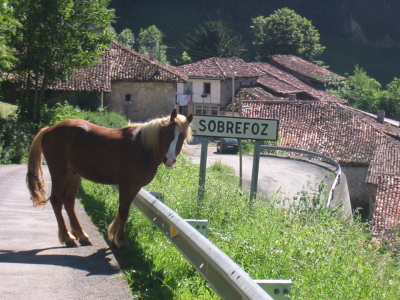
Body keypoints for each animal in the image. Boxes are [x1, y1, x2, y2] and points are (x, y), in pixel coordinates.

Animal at [26, 109, 192, 247]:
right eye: (167, 134)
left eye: (182, 136)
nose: (169, 160)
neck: (142, 148)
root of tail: (48, 129)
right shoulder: (126, 183)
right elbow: (123, 210)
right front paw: (120, 239)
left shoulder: (136, 186)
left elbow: (124, 208)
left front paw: (113, 235)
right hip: (59, 172)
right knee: (56, 200)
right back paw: (67, 237)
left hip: (73, 174)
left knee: (68, 202)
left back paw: (81, 235)